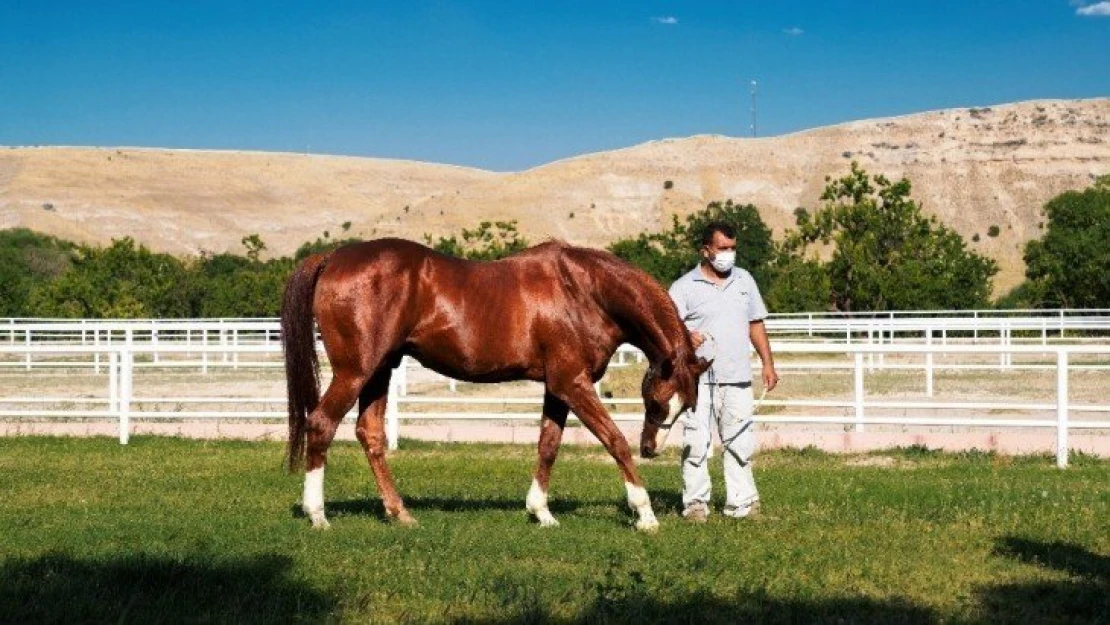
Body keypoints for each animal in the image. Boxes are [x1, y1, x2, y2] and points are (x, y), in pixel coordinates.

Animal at [281, 239, 705, 532]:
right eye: (657, 402)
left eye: (687, 407)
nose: (651, 449)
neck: (584, 290)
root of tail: (332, 257)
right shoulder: (573, 384)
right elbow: (614, 440)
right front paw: (645, 514)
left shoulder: (557, 387)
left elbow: (548, 446)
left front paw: (541, 513)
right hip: (354, 372)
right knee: (321, 425)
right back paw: (317, 516)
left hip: (380, 371)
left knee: (370, 434)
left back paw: (400, 513)